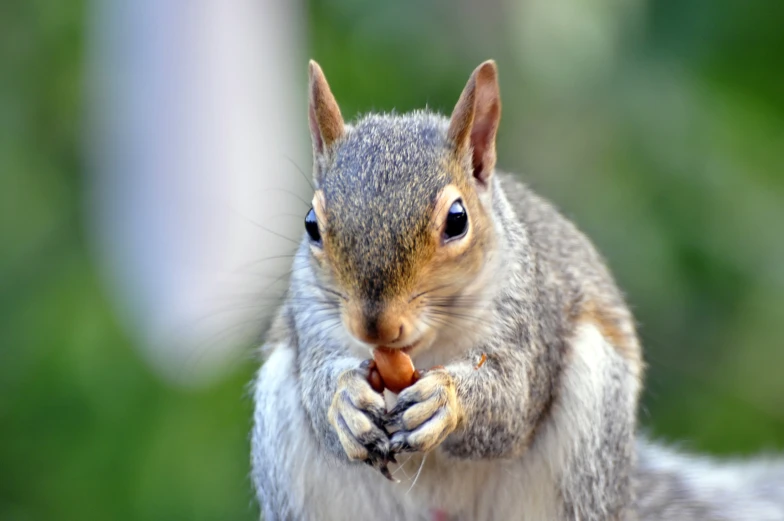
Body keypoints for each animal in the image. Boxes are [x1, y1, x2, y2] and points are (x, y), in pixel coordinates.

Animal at [251, 59, 784, 516]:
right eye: (311, 224)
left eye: (457, 220)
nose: (374, 326)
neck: (425, 348)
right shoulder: (312, 319)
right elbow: (318, 382)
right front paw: (344, 402)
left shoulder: (529, 316)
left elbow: (512, 403)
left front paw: (446, 399)